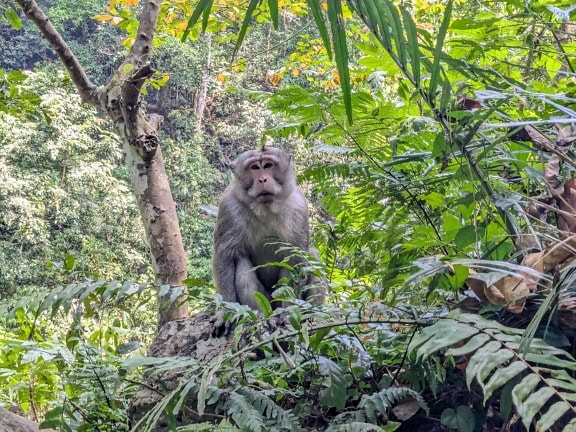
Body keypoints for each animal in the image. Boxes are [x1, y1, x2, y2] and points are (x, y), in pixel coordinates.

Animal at [214, 147, 326, 316]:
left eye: (267, 165)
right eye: (254, 167)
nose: (262, 180)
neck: (265, 207)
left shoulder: (298, 206)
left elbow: (294, 258)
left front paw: (288, 312)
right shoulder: (229, 206)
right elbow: (225, 257)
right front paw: (228, 309)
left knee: (313, 254)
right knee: (242, 261)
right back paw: (260, 314)